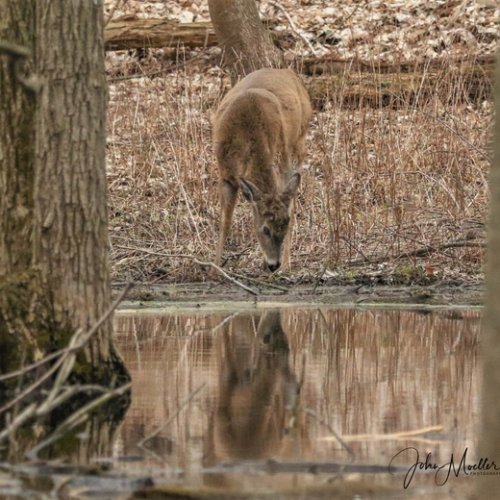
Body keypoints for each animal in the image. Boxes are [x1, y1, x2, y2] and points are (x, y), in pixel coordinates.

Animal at [213, 68, 313, 272]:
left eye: (283, 226)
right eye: (265, 229)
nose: (274, 265)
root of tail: (288, 72)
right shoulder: (225, 173)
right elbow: (225, 223)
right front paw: (214, 269)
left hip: (298, 140)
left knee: (293, 197)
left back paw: (287, 264)